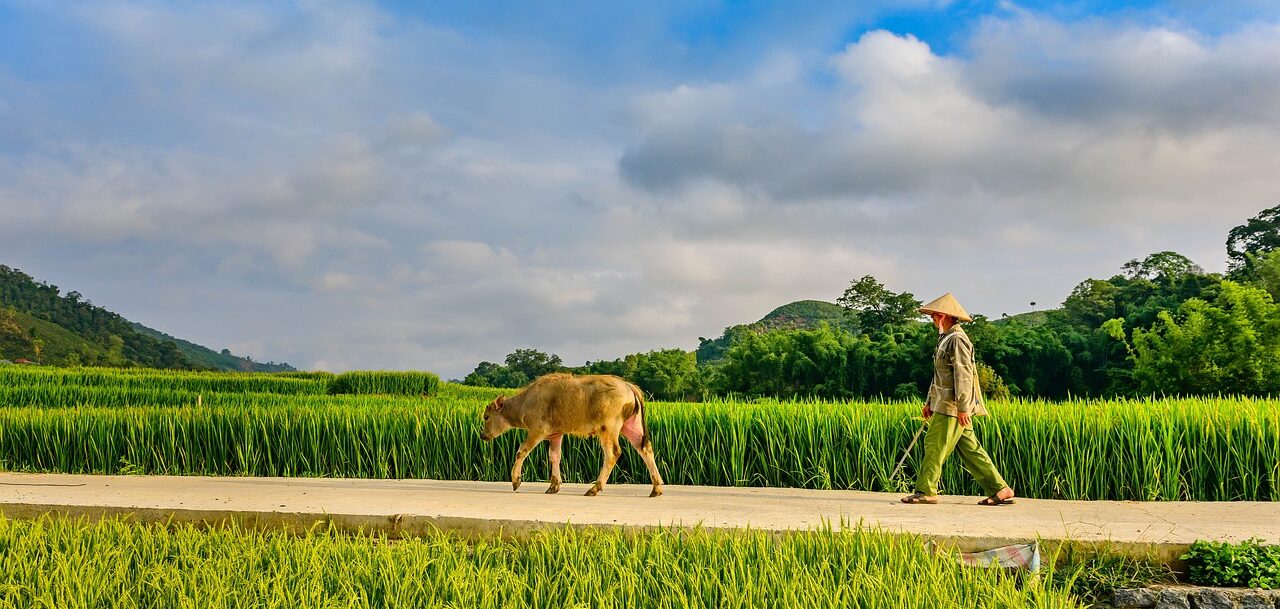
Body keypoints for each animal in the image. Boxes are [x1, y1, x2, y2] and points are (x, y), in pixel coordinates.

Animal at [478, 373, 665, 496]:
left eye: (486, 416)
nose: (482, 435)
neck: (526, 402)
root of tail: (628, 386)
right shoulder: (556, 434)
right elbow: (554, 457)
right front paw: (553, 486)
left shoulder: (537, 431)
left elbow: (521, 451)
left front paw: (516, 481)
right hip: (631, 426)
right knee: (645, 449)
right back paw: (656, 488)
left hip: (608, 429)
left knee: (613, 453)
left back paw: (594, 488)